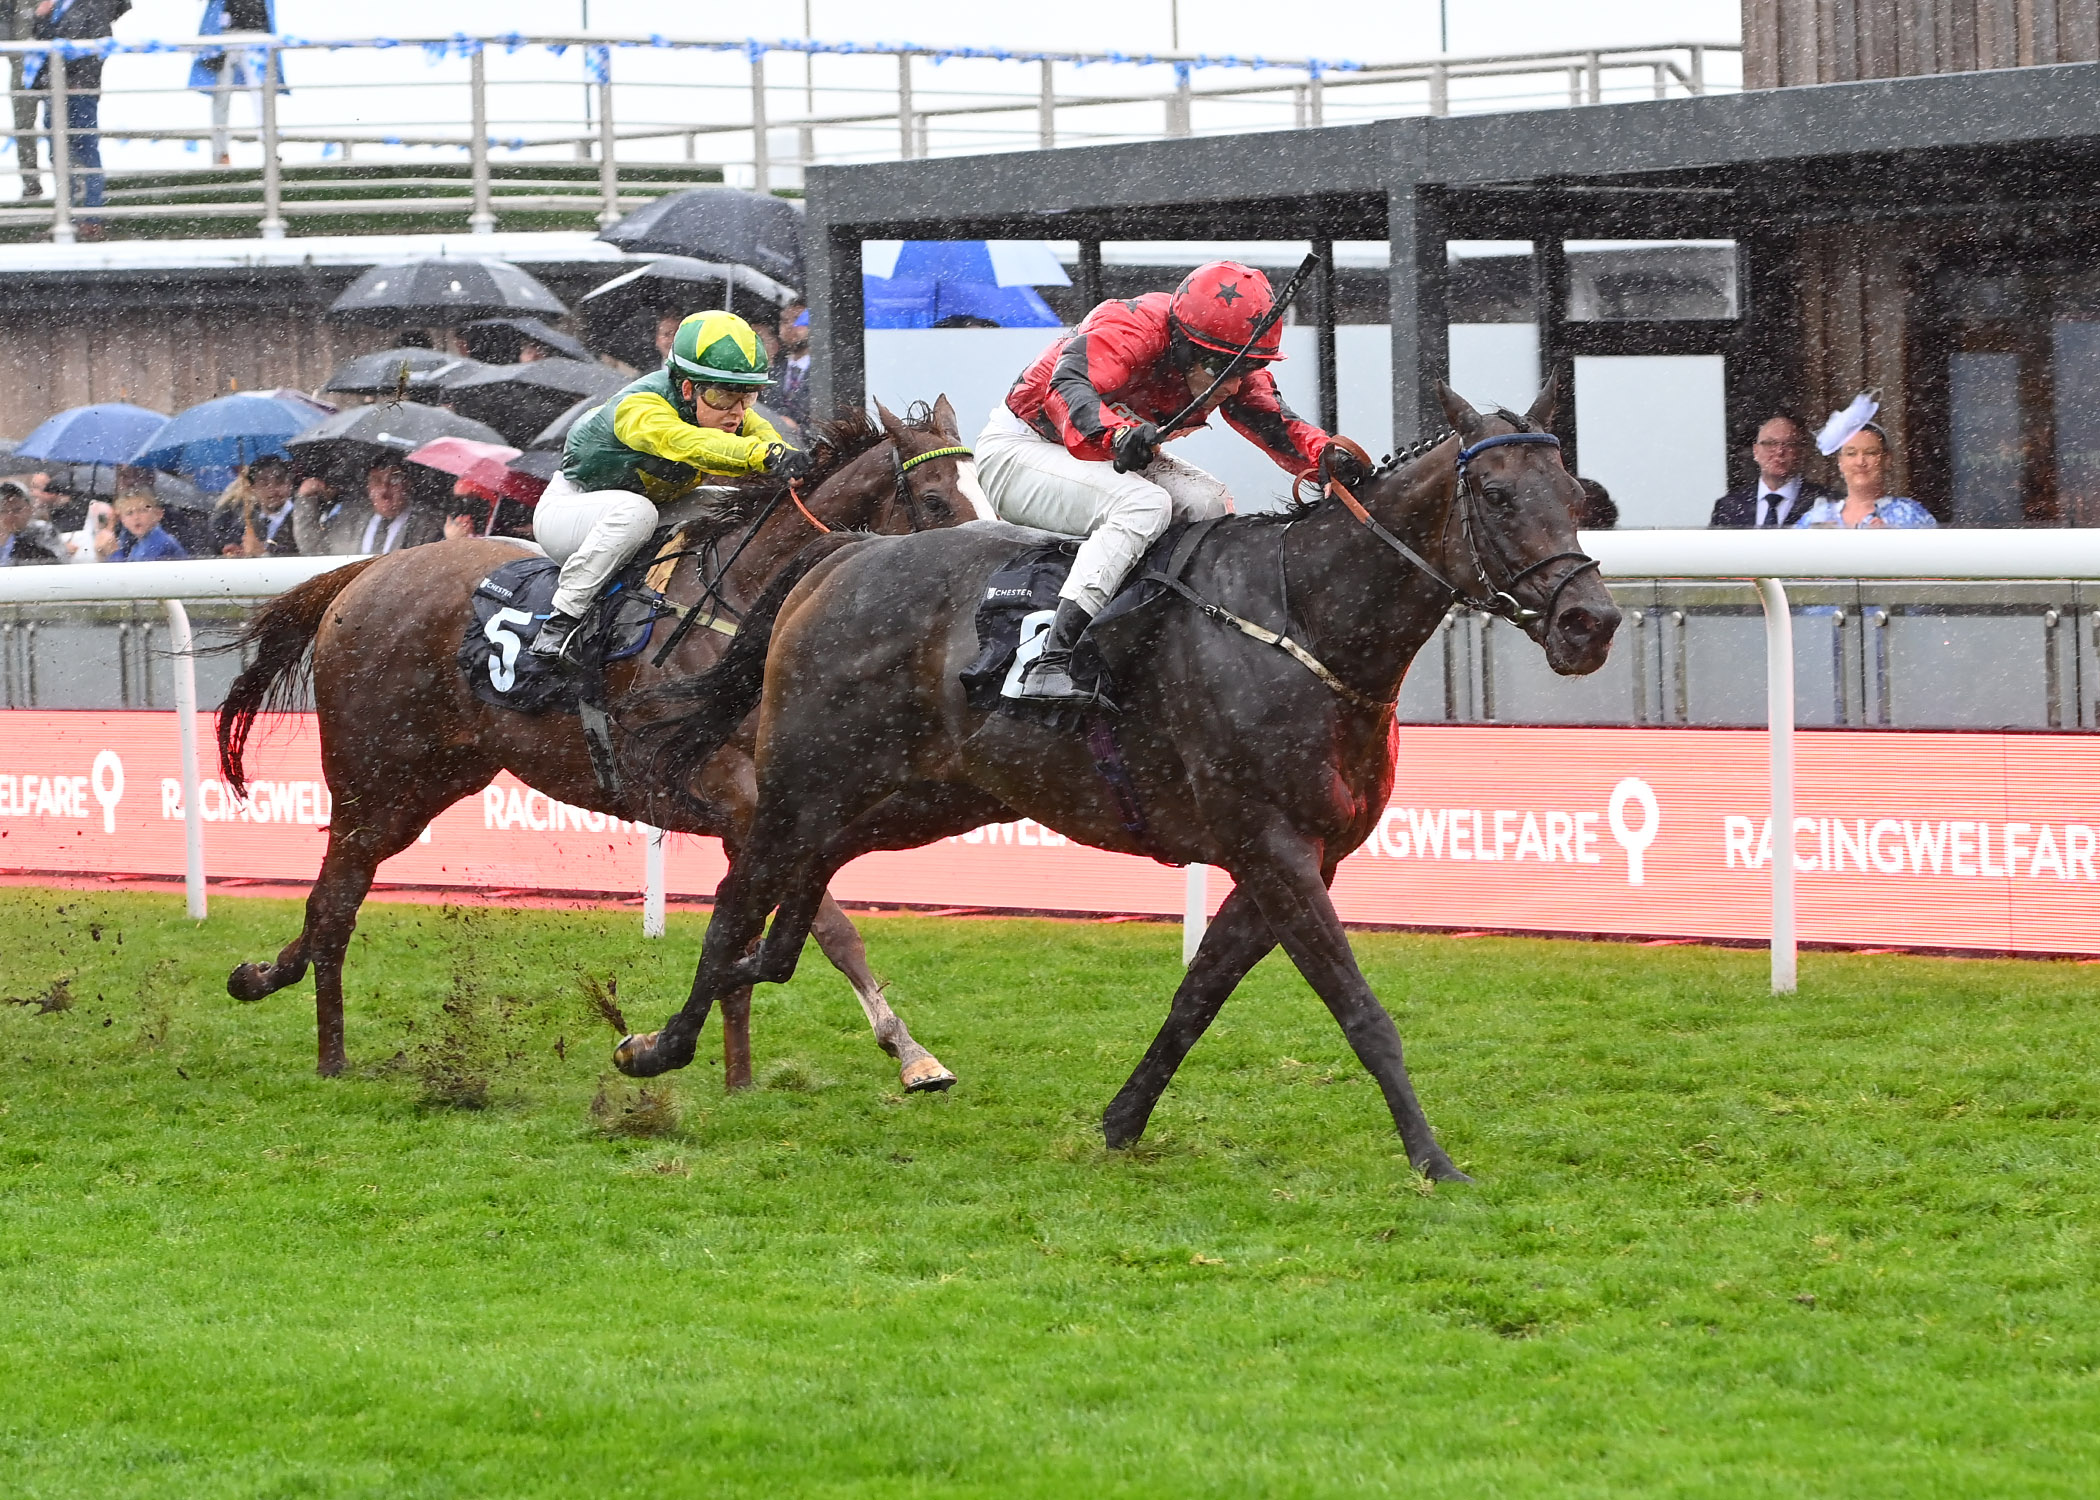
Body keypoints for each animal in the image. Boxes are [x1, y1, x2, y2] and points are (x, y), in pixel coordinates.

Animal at [213, 398, 983, 1084]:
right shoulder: (744, 797)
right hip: (372, 774)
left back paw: (271, 984)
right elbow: (828, 927)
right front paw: (911, 1055)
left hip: (432, 780)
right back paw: (326, 1051)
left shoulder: (774, 809)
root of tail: (364, 574)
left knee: (337, 895)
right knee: (334, 901)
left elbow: (764, 935)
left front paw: (744, 1073)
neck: (748, 613)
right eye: (937, 501)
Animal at [604, 381, 1620, 1181]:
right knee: (740, 897)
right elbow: (1361, 1010)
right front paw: (1434, 1160)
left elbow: (1197, 996)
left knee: (808, 883)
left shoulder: (1298, 858)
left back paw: (770, 984)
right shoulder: (1274, 848)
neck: (1303, 618)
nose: (1592, 622)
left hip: (924, 793)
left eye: (1576, 494)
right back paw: (660, 1043)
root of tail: (846, 552)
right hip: (799, 778)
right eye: (1497, 493)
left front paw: (1123, 1120)